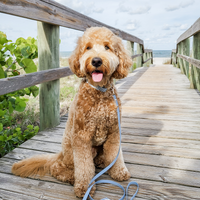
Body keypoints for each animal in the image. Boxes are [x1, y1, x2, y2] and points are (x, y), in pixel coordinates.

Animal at [10, 26, 133, 197]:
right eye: (88, 47)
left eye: (107, 47)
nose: (96, 61)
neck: (99, 93)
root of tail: (59, 155)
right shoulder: (81, 137)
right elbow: (84, 166)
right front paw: (85, 187)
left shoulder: (114, 132)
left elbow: (116, 154)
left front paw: (119, 171)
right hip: (70, 151)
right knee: (58, 168)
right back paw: (72, 177)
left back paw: (102, 162)